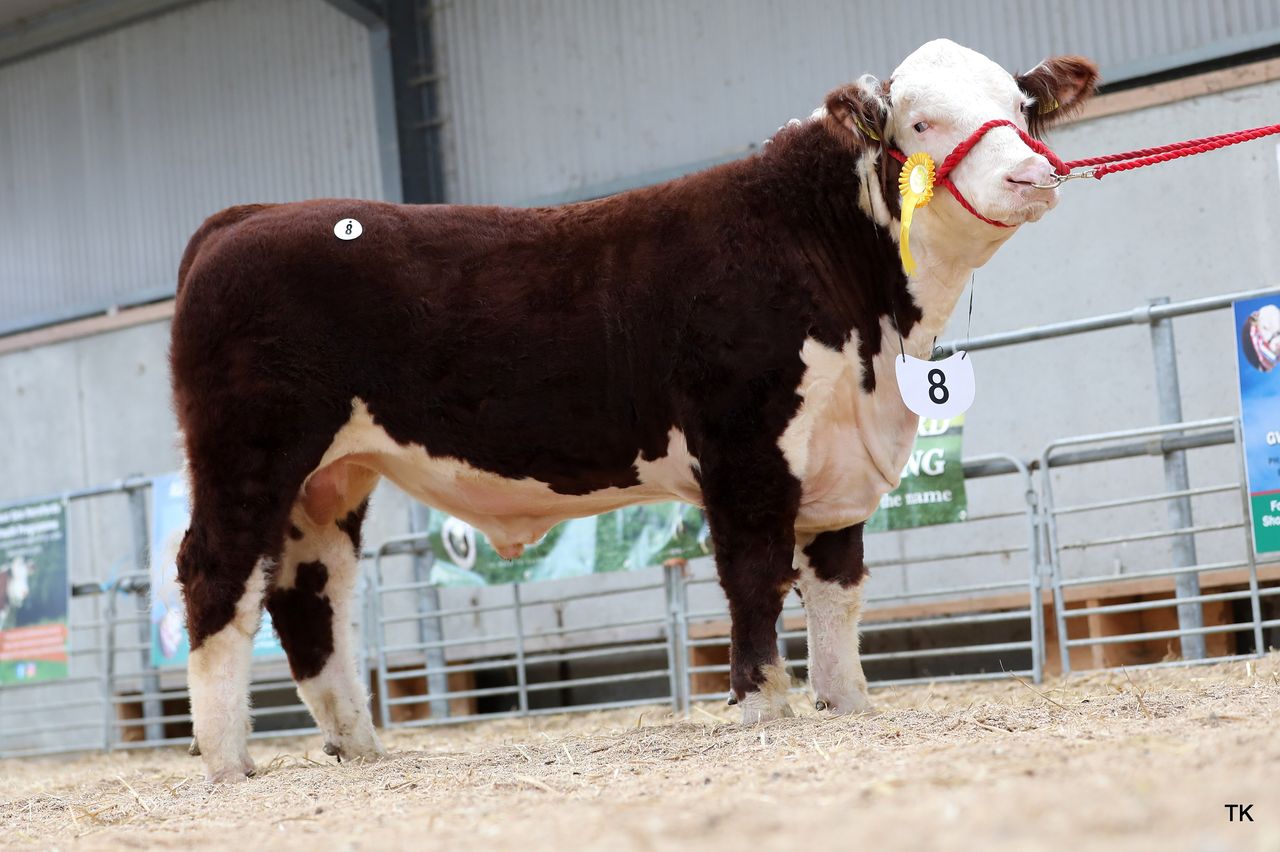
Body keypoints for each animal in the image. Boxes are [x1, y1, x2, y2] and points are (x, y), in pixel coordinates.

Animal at [170, 39, 1098, 782]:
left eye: (1021, 107)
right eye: (922, 122)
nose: (1032, 174)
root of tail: (247, 217)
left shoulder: (838, 458)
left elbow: (837, 590)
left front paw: (846, 704)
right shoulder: (746, 446)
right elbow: (756, 576)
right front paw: (763, 707)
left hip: (333, 475)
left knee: (310, 592)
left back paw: (357, 749)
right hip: (250, 449)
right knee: (217, 575)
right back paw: (227, 762)